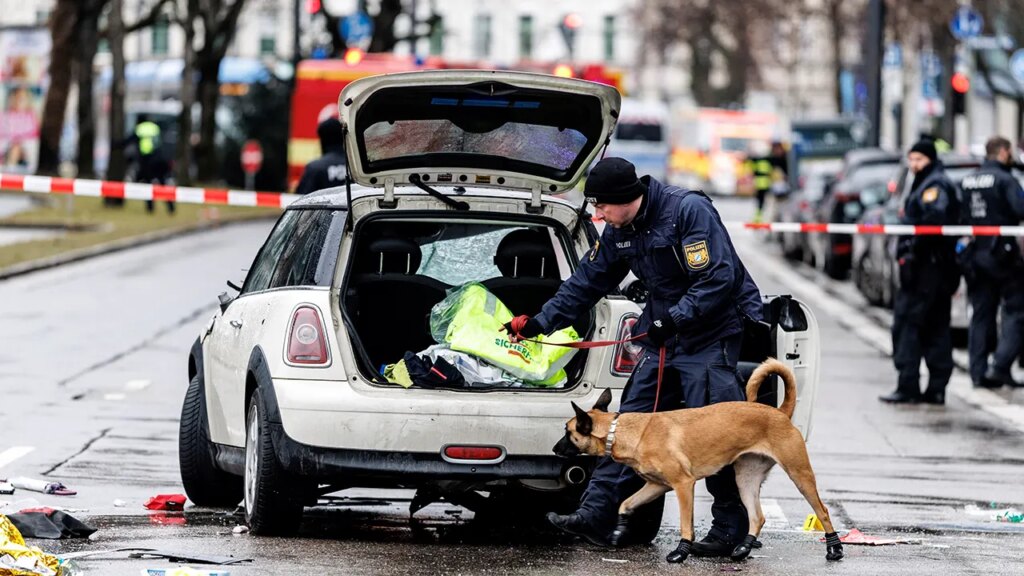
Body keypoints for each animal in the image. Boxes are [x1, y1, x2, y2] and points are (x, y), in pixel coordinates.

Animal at [557, 356, 843, 561]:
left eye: (568, 432)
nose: (555, 449)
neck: (623, 431)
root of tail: (780, 412)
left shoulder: (684, 485)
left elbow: (686, 523)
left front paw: (681, 551)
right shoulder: (656, 486)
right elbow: (625, 504)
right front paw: (619, 529)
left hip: (799, 475)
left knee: (823, 510)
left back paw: (834, 548)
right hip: (745, 479)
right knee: (757, 517)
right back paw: (743, 548)